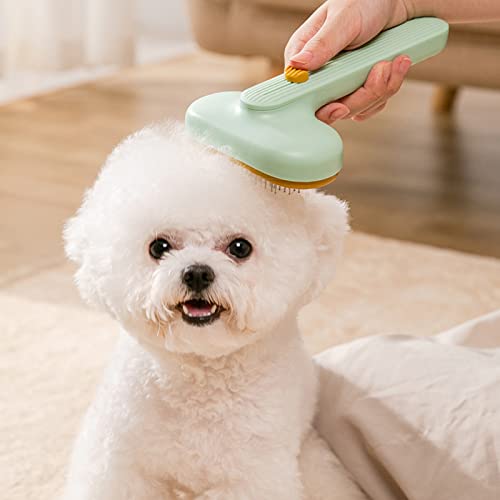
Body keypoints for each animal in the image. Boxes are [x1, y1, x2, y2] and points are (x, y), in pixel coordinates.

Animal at [62, 123, 367, 500]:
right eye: (158, 247)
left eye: (240, 247)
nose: (196, 272)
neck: (200, 377)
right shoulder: (118, 459)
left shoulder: (252, 477)